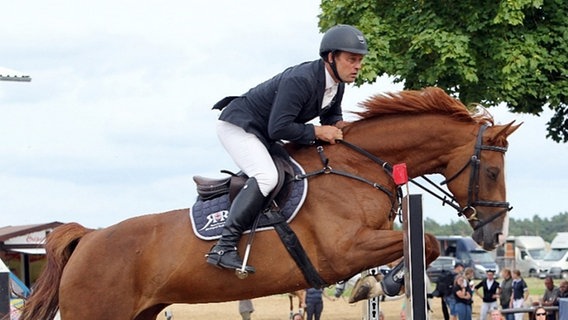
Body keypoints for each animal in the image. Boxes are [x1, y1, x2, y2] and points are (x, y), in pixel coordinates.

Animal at [21, 87, 520, 320]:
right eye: (494, 172)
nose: (494, 235)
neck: (359, 165)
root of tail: (88, 239)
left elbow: (424, 246)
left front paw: (378, 284)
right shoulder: (342, 251)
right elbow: (430, 243)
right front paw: (377, 284)